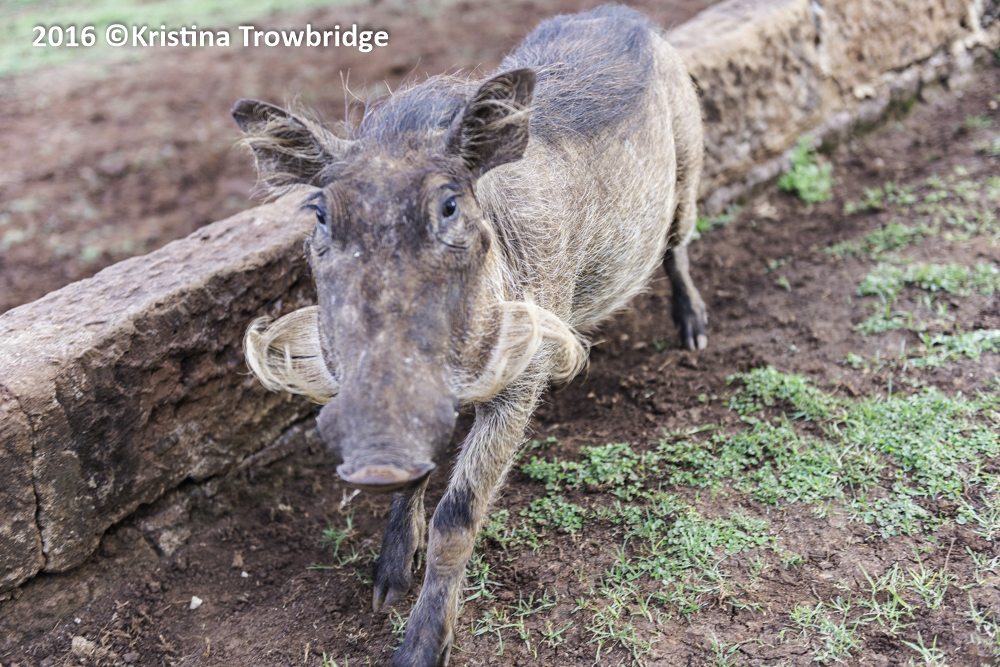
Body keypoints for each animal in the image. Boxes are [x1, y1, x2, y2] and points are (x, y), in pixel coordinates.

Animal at [233, 5, 706, 664]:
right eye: (320, 214)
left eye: (450, 208)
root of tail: (621, 15)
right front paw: (386, 585)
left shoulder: (521, 380)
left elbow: (457, 518)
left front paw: (419, 648)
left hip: (687, 177)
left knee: (678, 248)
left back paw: (693, 335)